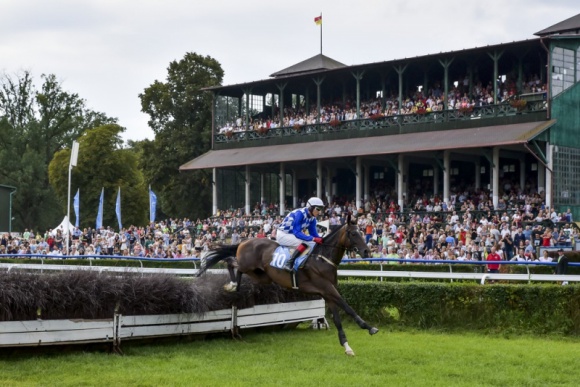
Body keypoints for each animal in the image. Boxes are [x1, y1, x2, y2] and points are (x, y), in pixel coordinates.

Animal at [197, 215, 378, 358]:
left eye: (363, 232)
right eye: (353, 233)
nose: (367, 252)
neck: (321, 259)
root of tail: (245, 241)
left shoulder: (327, 293)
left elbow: (338, 320)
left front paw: (347, 347)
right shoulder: (328, 289)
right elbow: (348, 308)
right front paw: (369, 327)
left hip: (262, 276)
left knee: (236, 267)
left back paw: (234, 286)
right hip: (248, 265)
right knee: (231, 263)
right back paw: (232, 284)